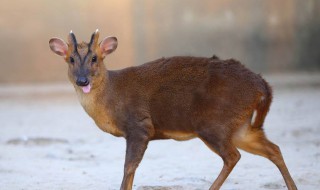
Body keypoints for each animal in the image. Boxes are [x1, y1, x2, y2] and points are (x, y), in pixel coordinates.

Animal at [48, 30, 296, 190]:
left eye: (94, 58)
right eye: (71, 59)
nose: (82, 80)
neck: (111, 97)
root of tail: (262, 85)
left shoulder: (140, 126)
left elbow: (128, 168)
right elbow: (131, 170)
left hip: (213, 123)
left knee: (233, 156)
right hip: (240, 126)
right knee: (273, 149)